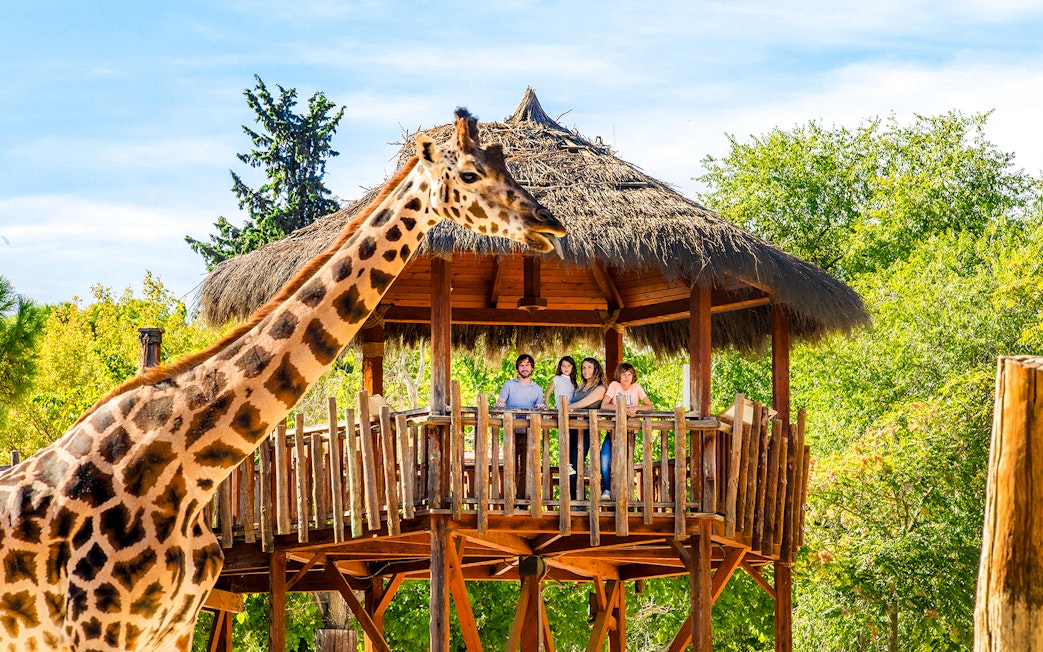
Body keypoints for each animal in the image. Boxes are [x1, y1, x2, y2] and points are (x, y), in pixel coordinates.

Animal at [0, 108, 566, 651]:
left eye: (507, 163)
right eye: (469, 173)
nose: (551, 224)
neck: (185, 466)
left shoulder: (173, 626)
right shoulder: (98, 623)